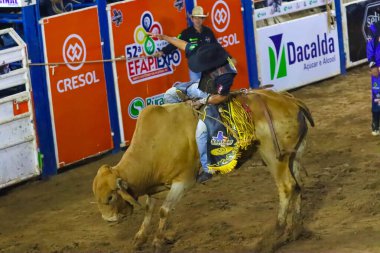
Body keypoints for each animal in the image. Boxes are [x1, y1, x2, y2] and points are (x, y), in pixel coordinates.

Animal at [93, 89, 314, 251]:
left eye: (110, 197)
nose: (108, 219)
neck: (156, 143)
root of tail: (290, 100)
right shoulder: (153, 186)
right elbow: (149, 209)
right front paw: (139, 239)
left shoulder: (183, 181)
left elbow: (164, 211)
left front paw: (157, 242)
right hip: (293, 155)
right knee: (297, 186)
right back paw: (294, 231)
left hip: (273, 156)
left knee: (286, 188)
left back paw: (276, 234)